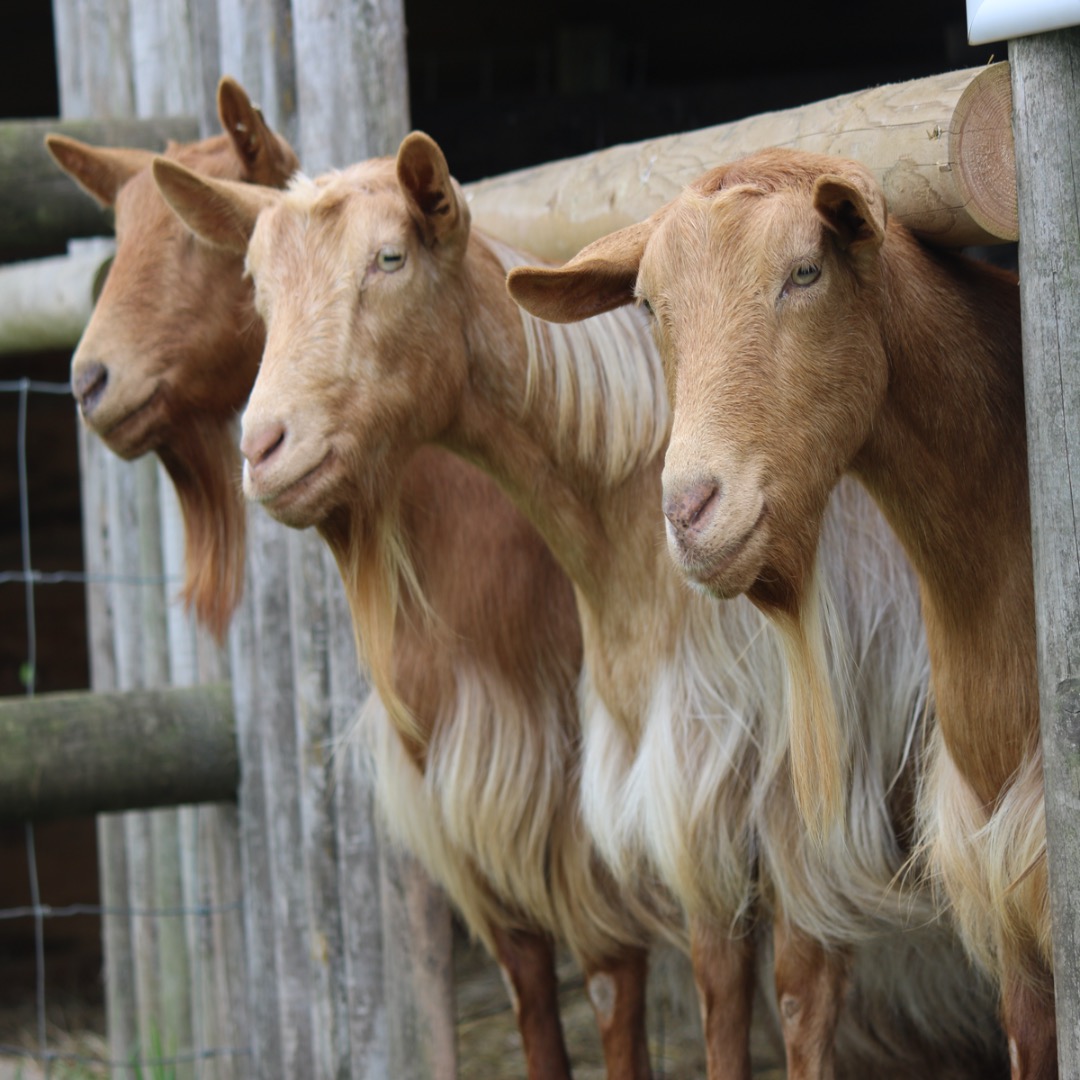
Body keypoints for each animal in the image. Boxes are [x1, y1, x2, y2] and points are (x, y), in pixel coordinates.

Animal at [49, 80, 661, 1079]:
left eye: (195, 243)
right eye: (258, 279)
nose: (91, 382)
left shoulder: (580, 786)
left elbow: (614, 975)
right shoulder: (458, 793)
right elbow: (529, 980)